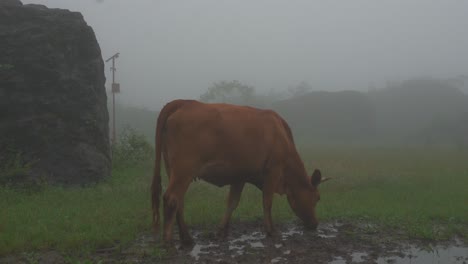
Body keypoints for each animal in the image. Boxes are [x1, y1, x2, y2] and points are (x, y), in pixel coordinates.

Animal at [152, 99, 328, 245]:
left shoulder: (239, 176)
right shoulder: (273, 170)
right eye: (317, 197)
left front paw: (222, 231)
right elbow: (267, 201)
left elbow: (232, 203)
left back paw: (186, 237)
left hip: (173, 170)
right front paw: (271, 231)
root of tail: (184, 102)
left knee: (179, 202)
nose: (315, 224)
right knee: (172, 198)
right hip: (184, 170)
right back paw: (168, 241)